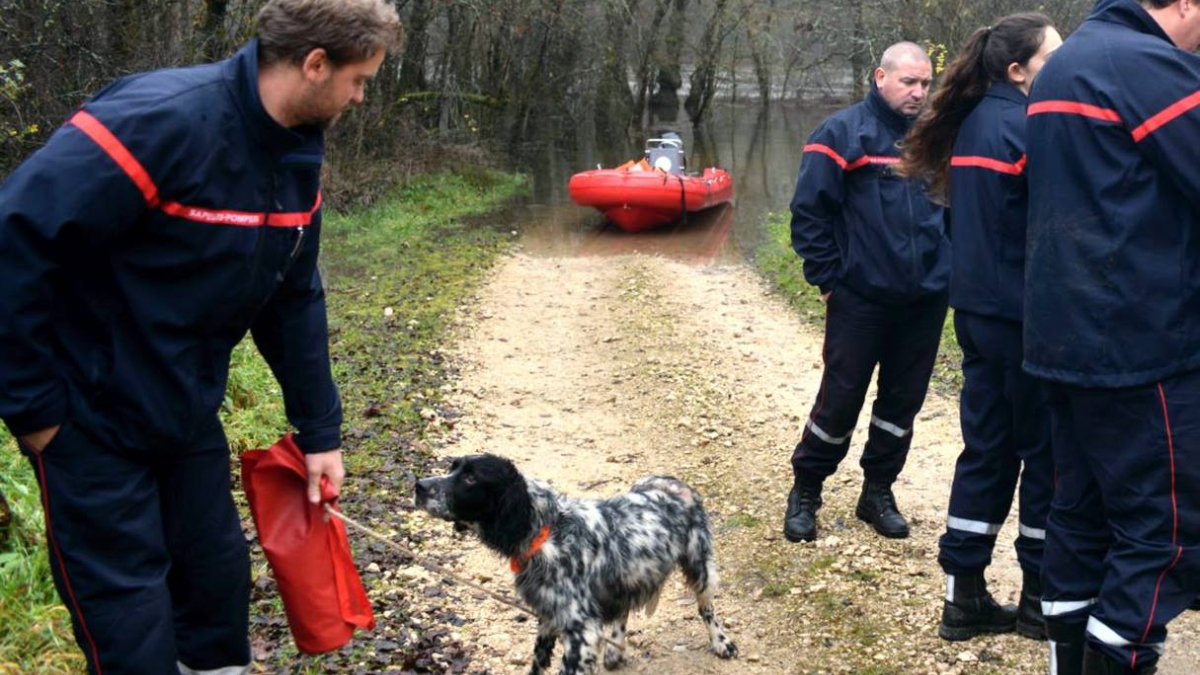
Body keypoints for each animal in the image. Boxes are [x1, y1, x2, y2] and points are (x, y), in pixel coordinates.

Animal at [412, 451, 734, 672]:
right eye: (452, 467)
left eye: (470, 477)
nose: (419, 485)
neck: (547, 529)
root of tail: (670, 481)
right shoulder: (549, 615)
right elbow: (537, 663)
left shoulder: (580, 631)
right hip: (628, 574)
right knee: (623, 610)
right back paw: (616, 651)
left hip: (700, 566)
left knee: (707, 608)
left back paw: (721, 641)